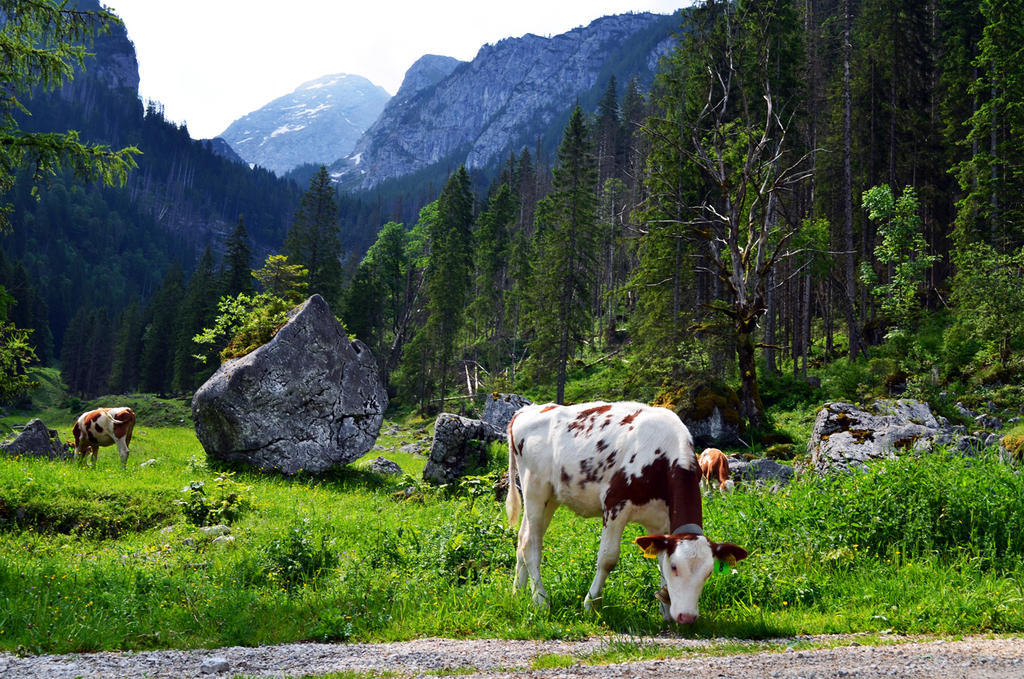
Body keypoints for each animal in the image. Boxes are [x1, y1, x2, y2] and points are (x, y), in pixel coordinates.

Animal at [507, 401, 749, 622]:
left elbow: (659, 558)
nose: (686, 617)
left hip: (551, 498)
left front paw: (665, 610)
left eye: (708, 573)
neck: (662, 459)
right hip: (535, 490)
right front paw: (591, 604)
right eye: (675, 567)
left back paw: (517, 593)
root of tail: (527, 410)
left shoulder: (663, 521)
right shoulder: (615, 505)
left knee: (522, 539)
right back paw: (540, 600)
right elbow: (607, 558)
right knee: (532, 545)